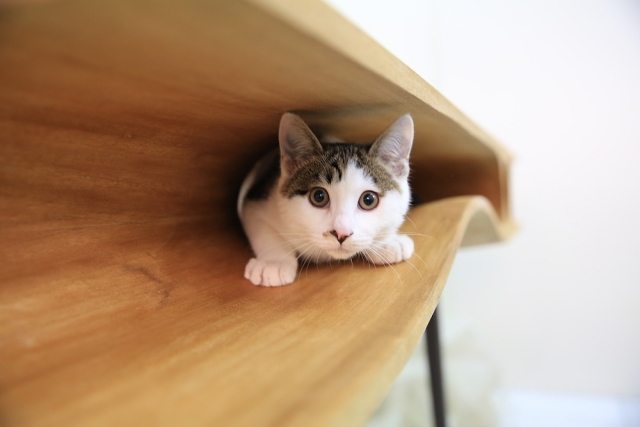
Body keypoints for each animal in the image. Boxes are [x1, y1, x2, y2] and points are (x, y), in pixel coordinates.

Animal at [236, 113, 416, 288]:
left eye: (369, 200)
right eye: (319, 197)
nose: (342, 233)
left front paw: (388, 241)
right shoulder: (256, 201)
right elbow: (262, 229)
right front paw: (274, 262)